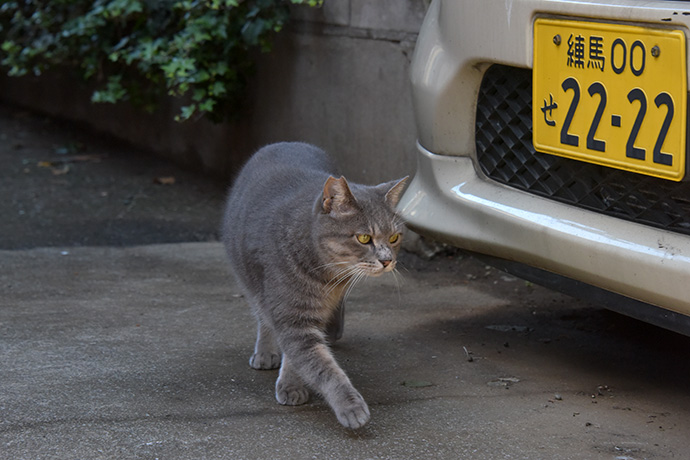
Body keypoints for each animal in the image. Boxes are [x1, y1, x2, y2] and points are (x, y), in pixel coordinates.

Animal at [220, 143, 406, 428]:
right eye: (364, 238)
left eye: (394, 237)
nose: (387, 261)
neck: (327, 278)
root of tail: (286, 143)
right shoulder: (292, 316)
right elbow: (322, 366)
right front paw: (350, 406)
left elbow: (301, 358)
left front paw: (291, 384)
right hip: (251, 282)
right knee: (263, 317)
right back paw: (265, 352)